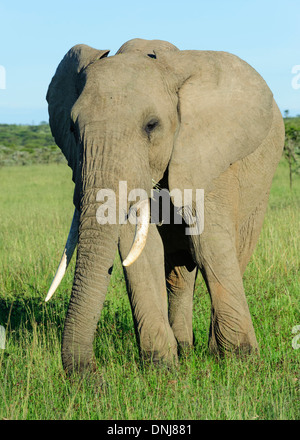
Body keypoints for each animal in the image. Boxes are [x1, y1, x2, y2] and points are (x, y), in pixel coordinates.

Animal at [45, 37, 284, 376]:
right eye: (73, 129)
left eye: (151, 125)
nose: (91, 377)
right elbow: (141, 251)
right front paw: (161, 367)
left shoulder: (207, 152)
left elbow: (208, 244)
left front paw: (240, 362)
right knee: (178, 271)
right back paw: (185, 348)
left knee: (234, 252)